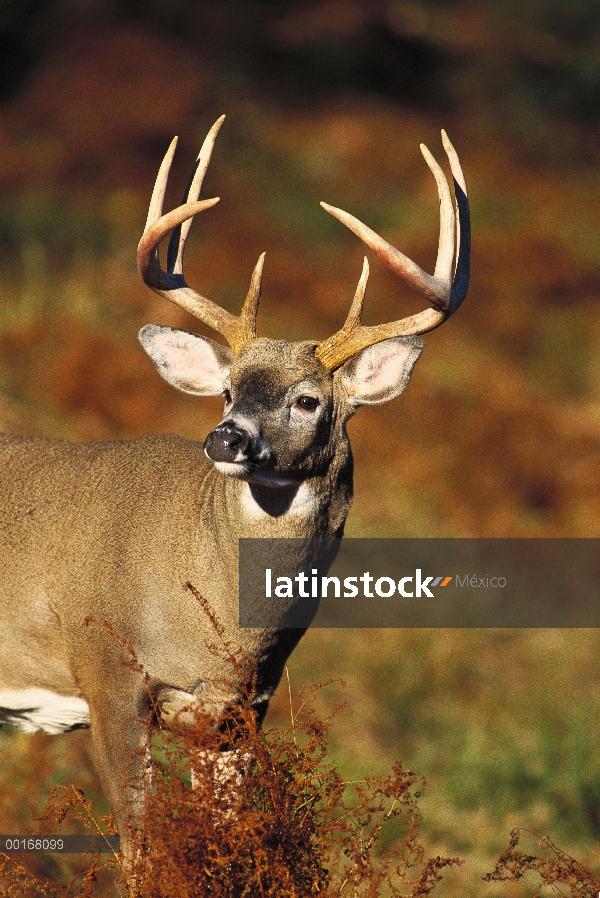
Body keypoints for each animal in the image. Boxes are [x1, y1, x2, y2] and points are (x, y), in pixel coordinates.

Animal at [0, 115, 468, 872]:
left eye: (308, 399)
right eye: (226, 390)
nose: (225, 438)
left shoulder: (239, 710)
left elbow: (224, 842)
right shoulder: (106, 669)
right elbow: (141, 850)